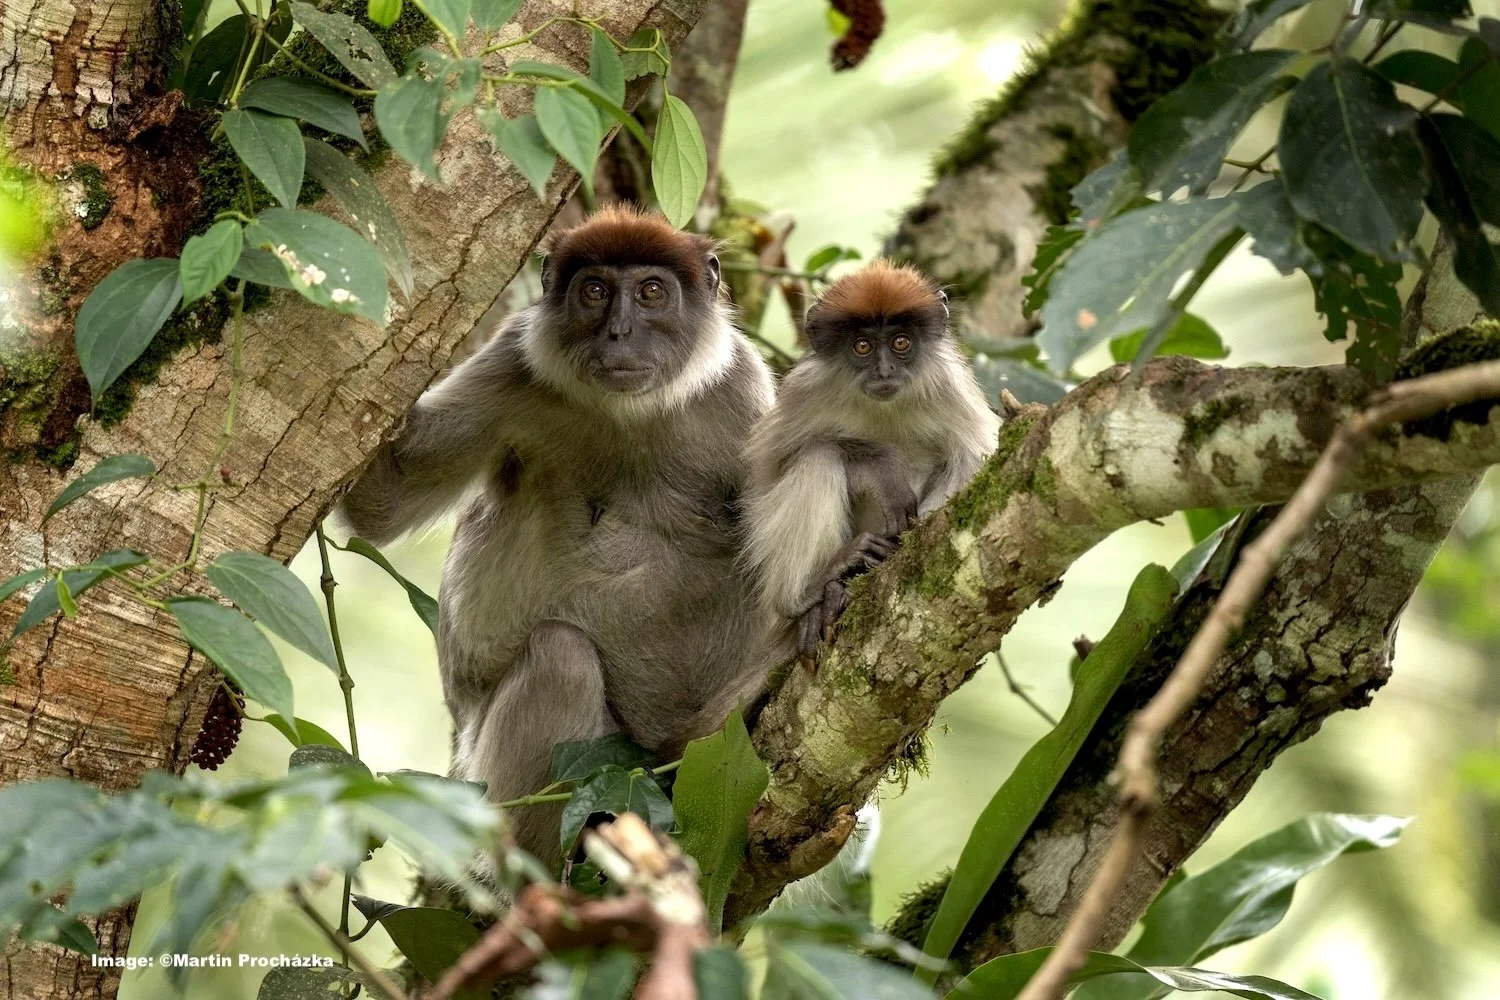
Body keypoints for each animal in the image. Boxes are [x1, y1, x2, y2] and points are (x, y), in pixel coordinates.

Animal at [339, 206, 788, 867]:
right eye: (594, 291)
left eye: (651, 292)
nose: (620, 333)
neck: (628, 414)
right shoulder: (512, 360)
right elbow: (377, 507)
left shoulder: (741, 389)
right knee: (560, 655)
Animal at [742, 260, 1002, 663]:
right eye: (862, 346)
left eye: (901, 343)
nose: (884, 371)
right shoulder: (805, 390)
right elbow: (769, 474)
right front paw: (881, 469)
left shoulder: (949, 386)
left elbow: (973, 462)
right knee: (819, 457)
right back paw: (809, 594)